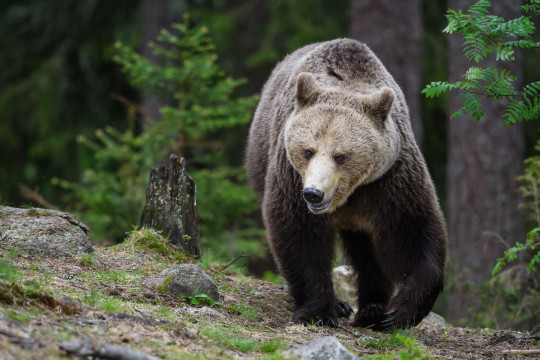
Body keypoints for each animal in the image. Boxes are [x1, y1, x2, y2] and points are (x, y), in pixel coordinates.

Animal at [246, 38, 448, 330]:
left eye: (340, 156)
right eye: (308, 151)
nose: (313, 194)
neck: (350, 194)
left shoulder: (390, 181)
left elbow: (413, 230)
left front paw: (399, 312)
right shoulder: (289, 176)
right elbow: (299, 235)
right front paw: (319, 312)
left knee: (368, 251)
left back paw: (373, 309)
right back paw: (345, 305)